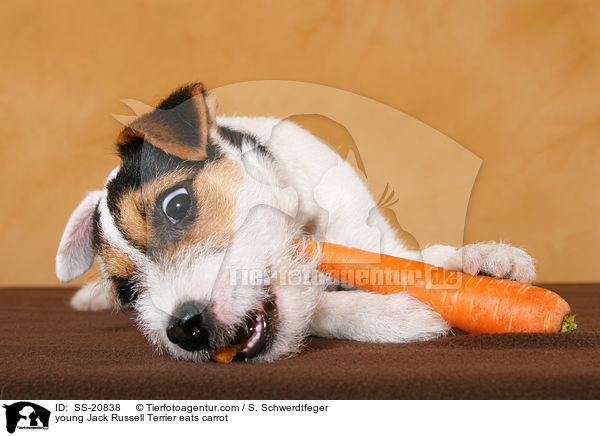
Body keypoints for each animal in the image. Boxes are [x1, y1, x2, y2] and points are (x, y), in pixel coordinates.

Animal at [55, 82, 536, 362]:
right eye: (126, 292)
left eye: (176, 204)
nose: (184, 328)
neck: (303, 230)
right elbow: (325, 308)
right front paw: (391, 315)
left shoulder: (367, 236)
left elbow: (409, 260)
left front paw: (480, 259)